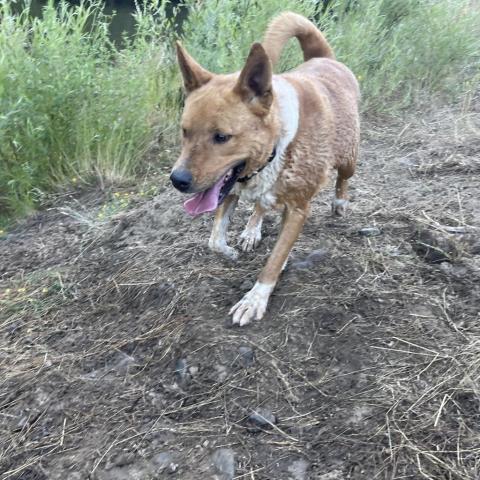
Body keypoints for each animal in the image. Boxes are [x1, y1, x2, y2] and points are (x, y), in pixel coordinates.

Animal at [171, 11, 358, 326]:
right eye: (185, 131)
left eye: (221, 137)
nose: (177, 180)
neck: (278, 144)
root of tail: (323, 57)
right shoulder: (231, 189)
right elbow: (215, 240)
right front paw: (231, 252)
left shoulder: (298, 209)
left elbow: (274, 260)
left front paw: (255, 298)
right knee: (260, 205)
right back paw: (252, 230)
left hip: (349, 158)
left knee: (343, 178)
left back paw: (340, 202)